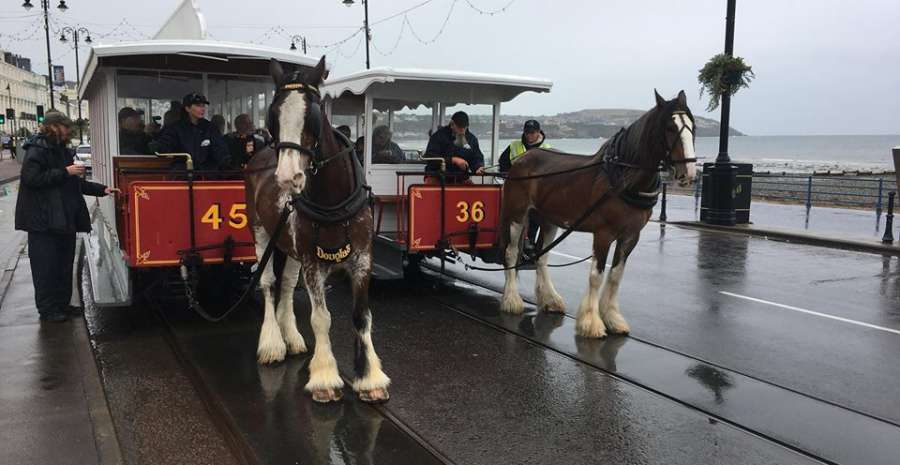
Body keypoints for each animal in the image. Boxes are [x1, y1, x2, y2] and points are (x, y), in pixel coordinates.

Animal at [244, 56, 388, 400]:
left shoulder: (362, 260)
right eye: (273, 115)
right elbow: (321, 318)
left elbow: (362, 315)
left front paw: (370, 378)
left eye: (313, 113)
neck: (335, 202)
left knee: (285, 284)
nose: (288, 176)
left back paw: (291, 337)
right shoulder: (313, 262)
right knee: (268, 284)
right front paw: (325, 378)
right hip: (261, 232)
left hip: (289, 244)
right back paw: (272, 343)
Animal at [500, 89, 696, 338]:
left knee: (542, 257)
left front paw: (612, 318)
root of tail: (523, 158)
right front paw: (591, 322)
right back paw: (512, 299)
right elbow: (596, 275)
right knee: (511, 253)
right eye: (670, 127)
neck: (622, 176)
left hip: (549, 219)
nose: (689, 173)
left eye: (693, 126)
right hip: (517, 216)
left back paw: (550, 299)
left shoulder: (630, 235)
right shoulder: (603, 233)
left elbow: (616, 275)